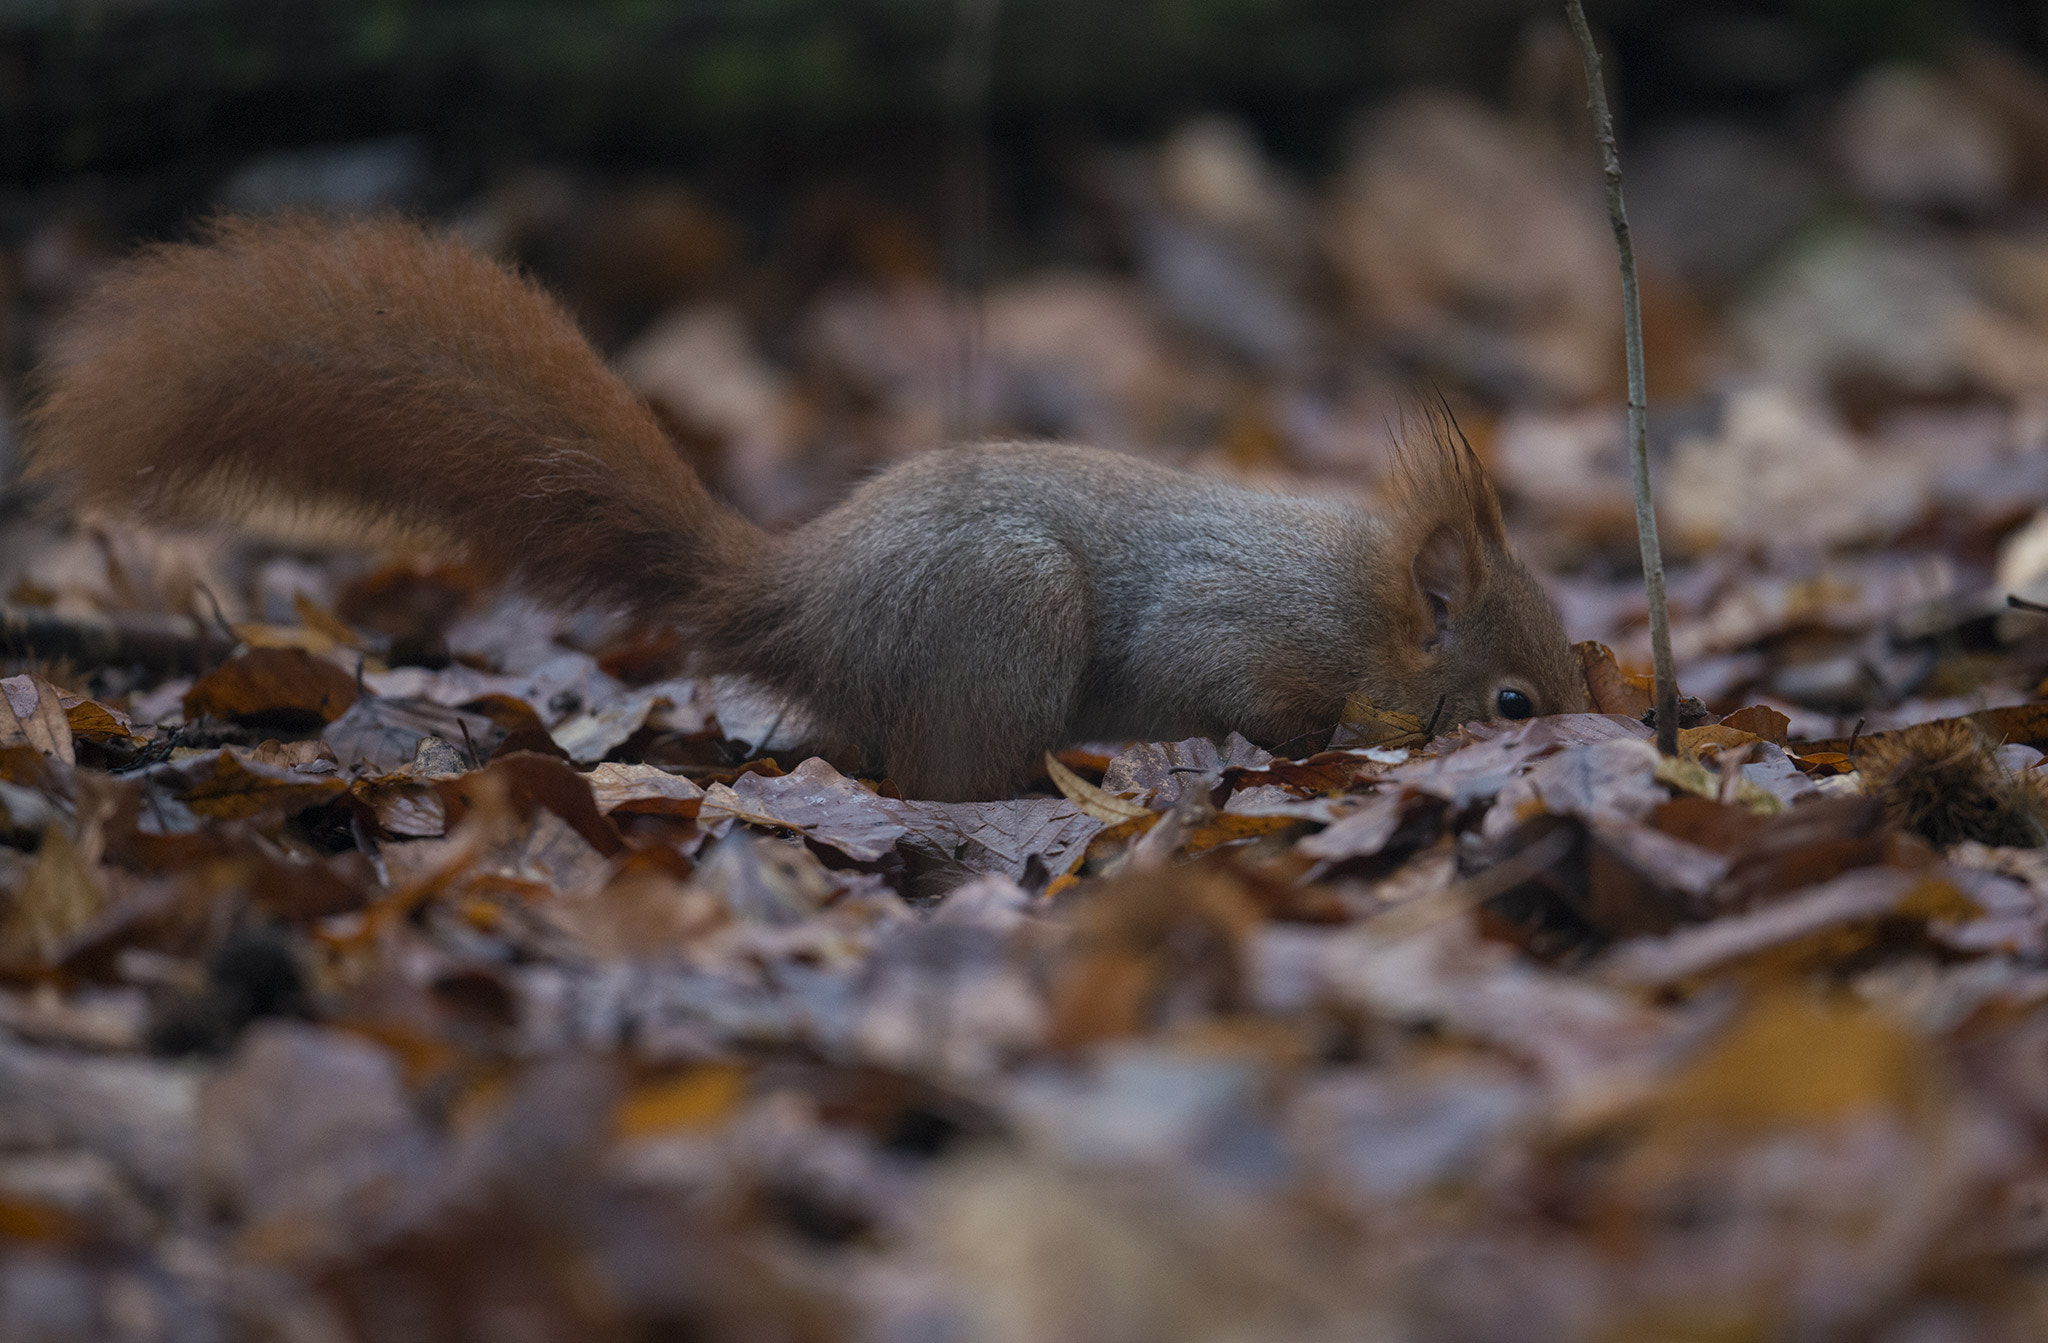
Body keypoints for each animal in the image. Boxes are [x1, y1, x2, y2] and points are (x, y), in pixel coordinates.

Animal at [24, 210, 1581, 798]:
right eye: (1513, 702)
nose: (1589, 732)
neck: (1369, 612)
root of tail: (800, 599)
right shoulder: (1251, 636)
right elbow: (1249, 693)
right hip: (1005, 619)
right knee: (943, 772)